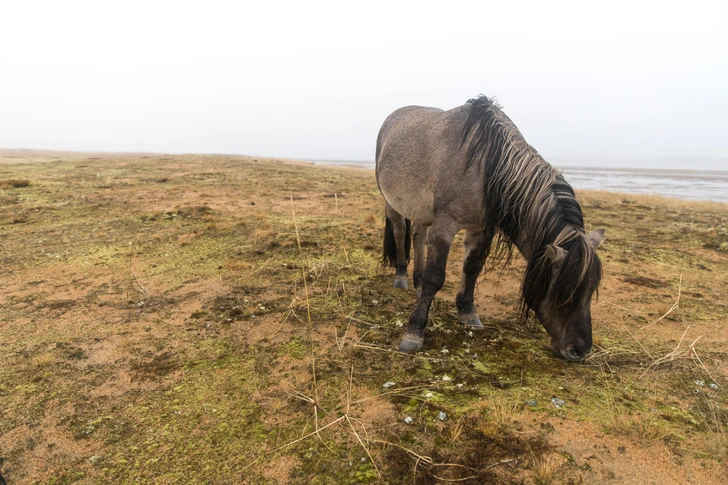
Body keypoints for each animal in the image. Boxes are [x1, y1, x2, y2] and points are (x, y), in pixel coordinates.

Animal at [376, 95, 604, 360]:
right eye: (564, 293)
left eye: (591, 290)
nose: (580, 350)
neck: (487, 165)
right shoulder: (445, 225)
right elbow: (435, 277)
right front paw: (414, 332)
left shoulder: (481, 229)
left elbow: (472, 268)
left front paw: (468, 311)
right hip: (391, 202)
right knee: (400, 231)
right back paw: (402, 276)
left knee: (418, 235)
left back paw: (418, 283)